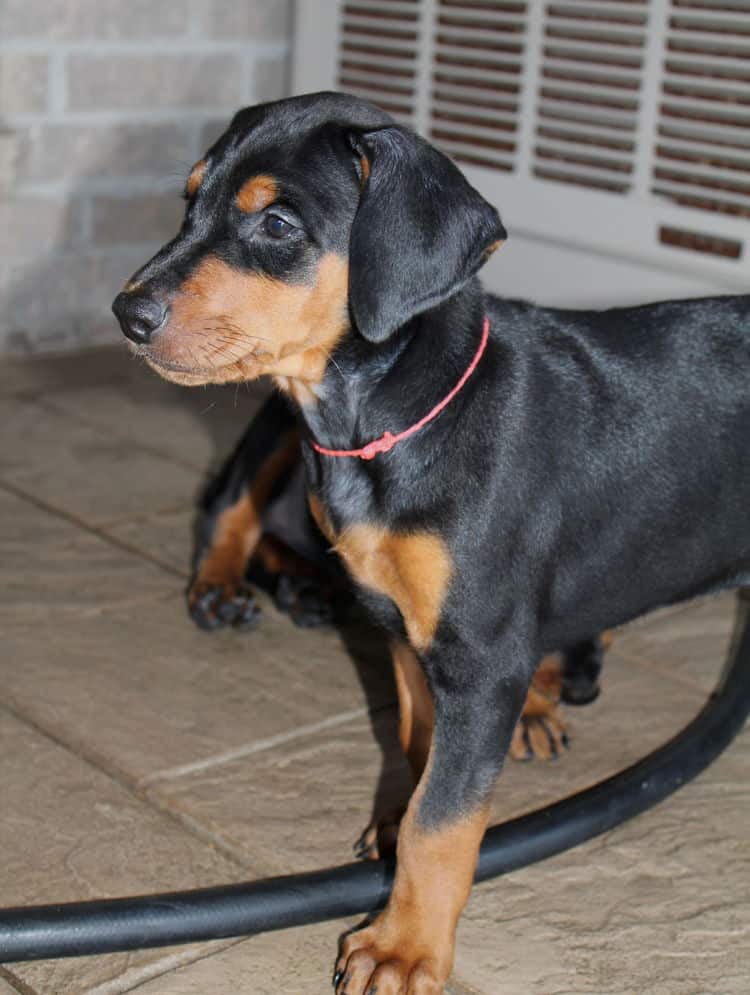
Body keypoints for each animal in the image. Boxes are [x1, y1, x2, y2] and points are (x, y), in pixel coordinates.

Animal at [113, 93, 750, 995]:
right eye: (189, 203)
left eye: (277, 223)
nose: (127, 314)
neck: (386, 425)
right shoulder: (409, 632)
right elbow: (417, 755)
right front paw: (392, 837)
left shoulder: (478, 657)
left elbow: (442, 818)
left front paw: (403, 946)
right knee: (229, 500)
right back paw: (234, 585)